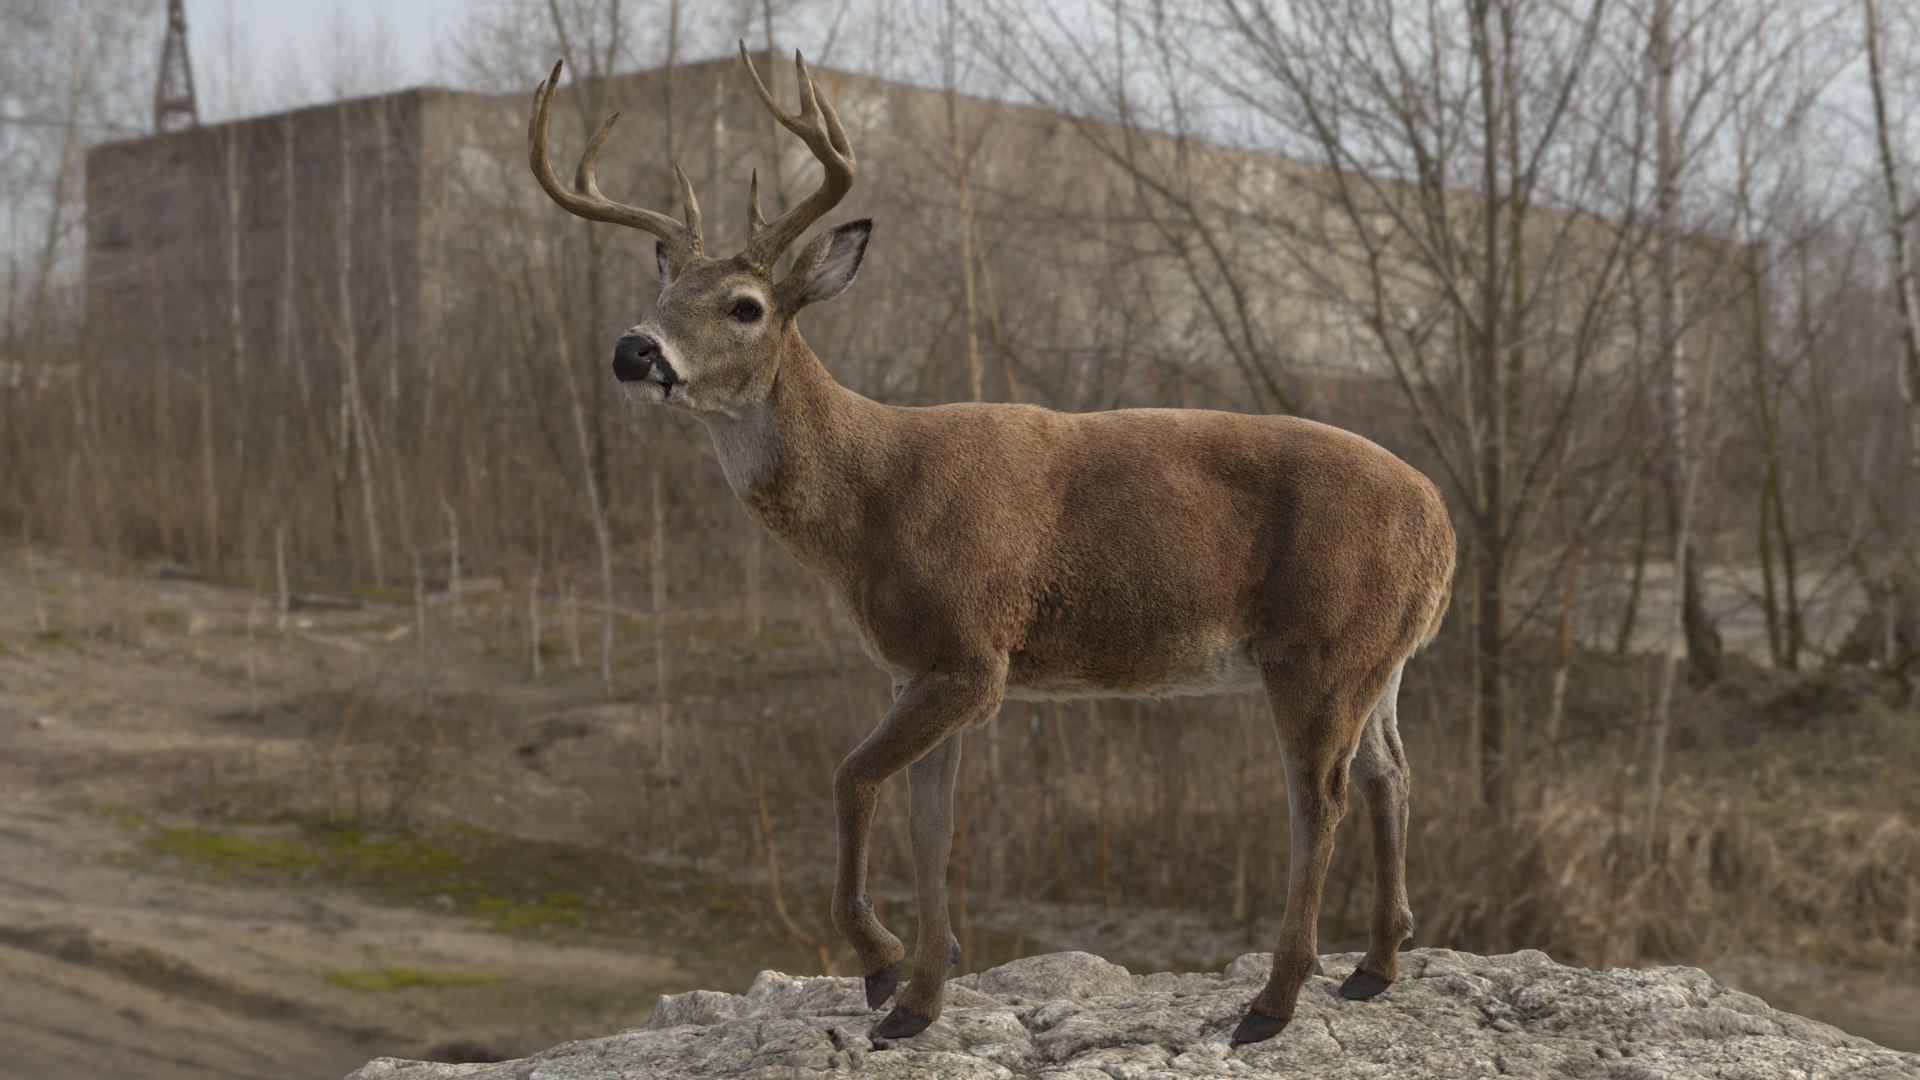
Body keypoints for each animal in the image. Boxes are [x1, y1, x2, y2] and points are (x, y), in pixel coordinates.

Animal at [526, 45, 1455, 1047]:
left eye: (744, 306)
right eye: (663, 292)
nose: (634, 350)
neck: (872, 504)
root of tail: (1445, 524)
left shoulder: (972, 653)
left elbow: (851, 779)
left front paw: (882, 964)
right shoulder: (919, 666)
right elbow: (932, 829)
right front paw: (917, 997)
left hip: (1317, 648)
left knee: (1319, 798)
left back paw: (1272, 1004)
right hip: (1377, 658)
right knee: (1391, 774)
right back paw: (1373, 969)